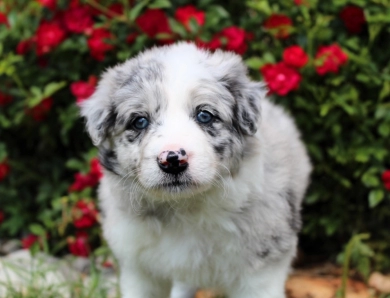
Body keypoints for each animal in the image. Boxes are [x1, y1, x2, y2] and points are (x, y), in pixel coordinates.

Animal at [80, 42, 312, 298]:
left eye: (204, 115)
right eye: (139, 121)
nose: (172, 160)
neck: (185, 207)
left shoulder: (262, 270)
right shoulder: (138, 269)